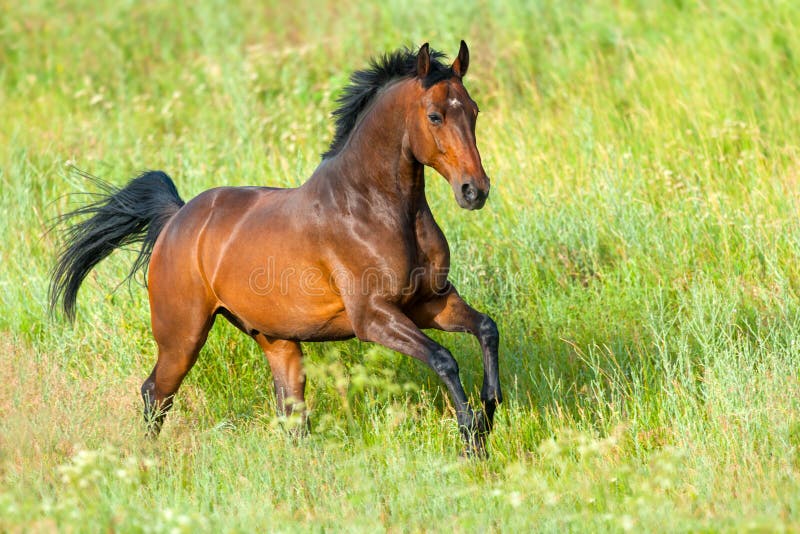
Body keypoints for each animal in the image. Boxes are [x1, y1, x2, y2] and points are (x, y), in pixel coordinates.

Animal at [50, 41, 502, 456]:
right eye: (435, 116)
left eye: (474, 111)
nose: (474, 191)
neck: (374, 207)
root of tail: (176, 218)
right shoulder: (374, 317)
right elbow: (443, 358)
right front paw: (472, 439)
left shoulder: (429, 302)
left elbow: (486, 328)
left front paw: (491, 408)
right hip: (182, 336)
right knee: (155, 393)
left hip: (276, 340)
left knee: (290, 412)